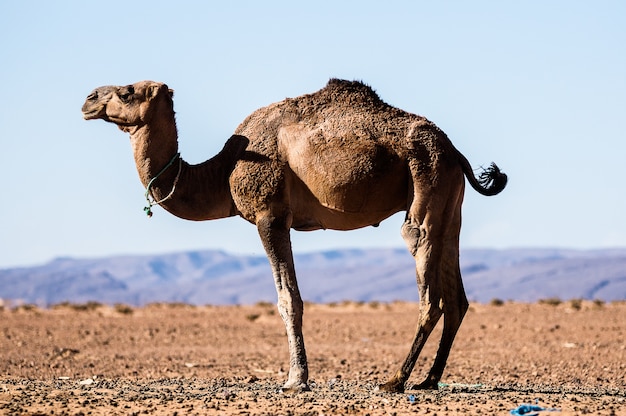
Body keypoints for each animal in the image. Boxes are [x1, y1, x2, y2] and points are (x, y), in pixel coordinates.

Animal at [80, 79, 504, 394]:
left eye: (126, 92)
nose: (88, 99)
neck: (223, 170)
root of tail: (455, 150)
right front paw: (298, 376)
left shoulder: (270, 215)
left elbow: (288, 299)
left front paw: (295, 379)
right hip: (450, 201)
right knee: (457, 294)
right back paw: (429, 379)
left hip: (426, 175)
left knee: (424, 268)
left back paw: (395, 380)